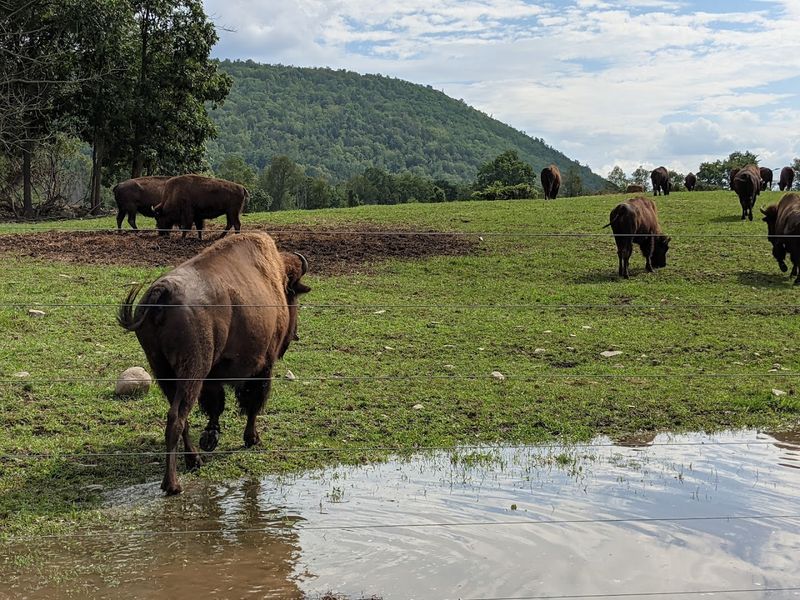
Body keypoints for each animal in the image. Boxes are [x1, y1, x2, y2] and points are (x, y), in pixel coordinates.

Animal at [118, 232, 311, 494]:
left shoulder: (213, 378)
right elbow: (252, 403)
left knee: (183, 418)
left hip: (163, 370)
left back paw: (195, 460)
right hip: (193, 371)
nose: (296, 334)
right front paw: (252, 438)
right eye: (293, 297)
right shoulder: (262, 366)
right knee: (176, 418)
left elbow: (215, 407)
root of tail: (162, 291)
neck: (275, 277)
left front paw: (211, 437)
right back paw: (173, 484)